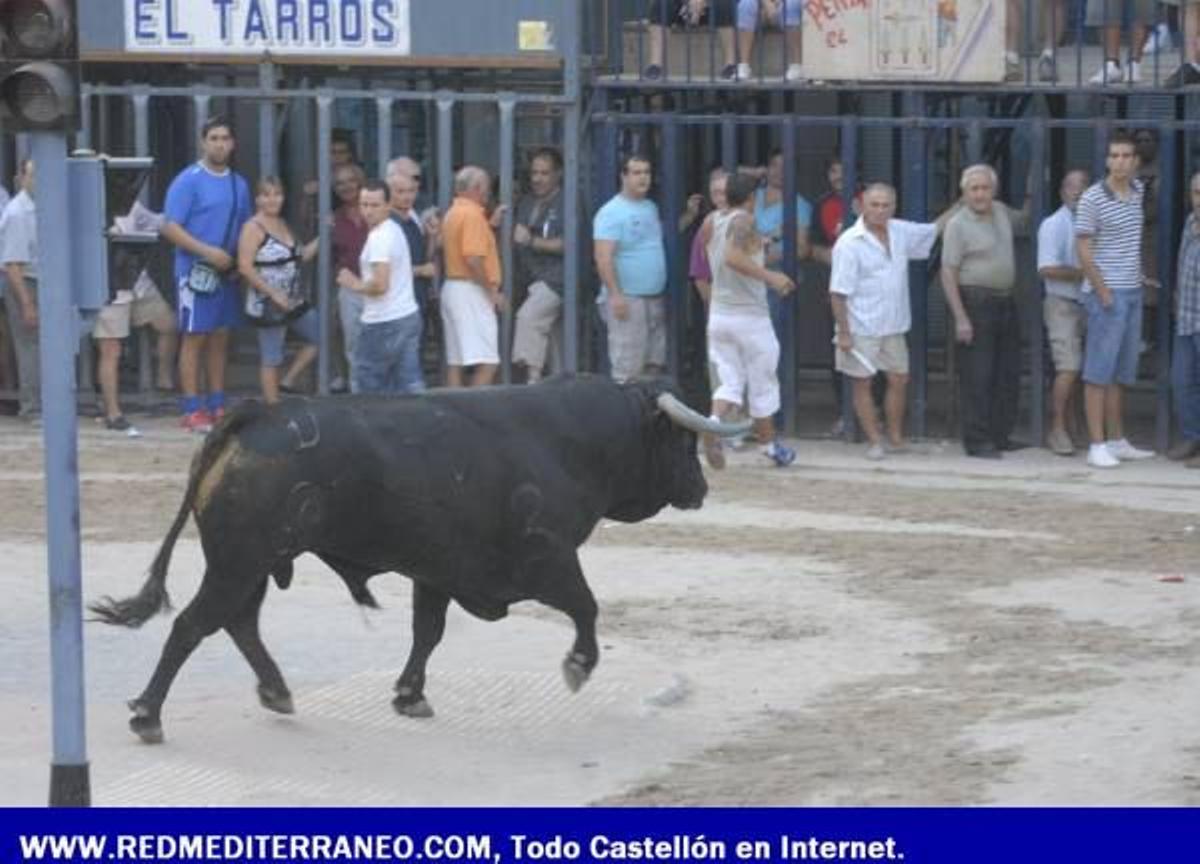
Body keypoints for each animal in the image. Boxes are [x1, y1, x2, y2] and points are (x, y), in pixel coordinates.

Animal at [90, 375, 749, 744]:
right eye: (682, 438)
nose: (701, 487)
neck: (569, 438)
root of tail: (257, 412)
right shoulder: (549, 556)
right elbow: (586, 607)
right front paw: (578, 667)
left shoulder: (438, 570)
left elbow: (427, 632)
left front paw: (409, 695)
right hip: (238, 561)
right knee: (192, 625)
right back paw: (147, 714)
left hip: (251, 564)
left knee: (238, 623)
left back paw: (276, 692)